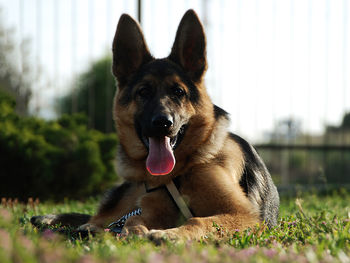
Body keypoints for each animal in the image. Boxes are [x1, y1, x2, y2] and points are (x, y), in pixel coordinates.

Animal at [31, 10, 278, 242]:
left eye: (178, 92)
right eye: (143, 91)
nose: (162, 123)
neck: (179, 173)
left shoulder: (243, 215)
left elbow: (198, 220)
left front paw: (170, 235)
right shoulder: (154, 207)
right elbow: (134, 219)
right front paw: (137, 231)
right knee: (103, 218)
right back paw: (90, 227)